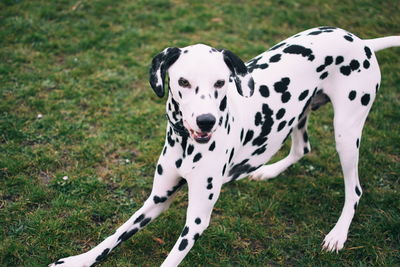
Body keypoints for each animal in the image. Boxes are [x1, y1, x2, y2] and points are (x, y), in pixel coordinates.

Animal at [50, 27, 400, 267]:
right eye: (184, 82)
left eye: (221, 82)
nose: (206, 121)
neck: (186, 143)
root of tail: (363, 42)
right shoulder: (157, 199)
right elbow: (116, 234)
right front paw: (78, 260)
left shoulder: (196, 220)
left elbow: (171, 258)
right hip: (298, 116)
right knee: (302, 148)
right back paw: (267, 172)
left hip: (346, 134)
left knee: (354, 189)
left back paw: (338, 234)